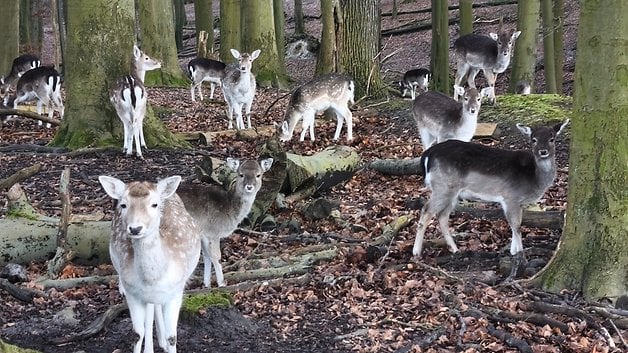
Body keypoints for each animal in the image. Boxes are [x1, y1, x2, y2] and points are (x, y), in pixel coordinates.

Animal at [99, 174, 200, 352]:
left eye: (155, 204)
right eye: (123, 204)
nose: (135, 228)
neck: (152, 278)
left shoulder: (176, 291)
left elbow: (172, 337)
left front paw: (167, 341)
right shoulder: (132, 292)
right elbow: (137, 334)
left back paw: (162, 342)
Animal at [178, 157, 274, 286]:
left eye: (258, 175)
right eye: (241, 174)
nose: (249, 187)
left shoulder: (204, 232)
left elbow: (206, 255)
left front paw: (207, 284)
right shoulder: (214, 231)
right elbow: (216, 256)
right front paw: (222, 283)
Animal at [412, 119, 568, 280]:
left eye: (552, 139)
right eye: (533, 139)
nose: (543, 152)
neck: (533, 179)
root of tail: (427, 155)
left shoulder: (517, 203)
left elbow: (516, 224)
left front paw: (513, 250)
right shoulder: (511, 197)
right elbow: (516, 225)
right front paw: (519, 253)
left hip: (452, 193)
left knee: (442, 215)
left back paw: (454, 249)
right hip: (443, 187)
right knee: (426, 210)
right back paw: (416, 251)